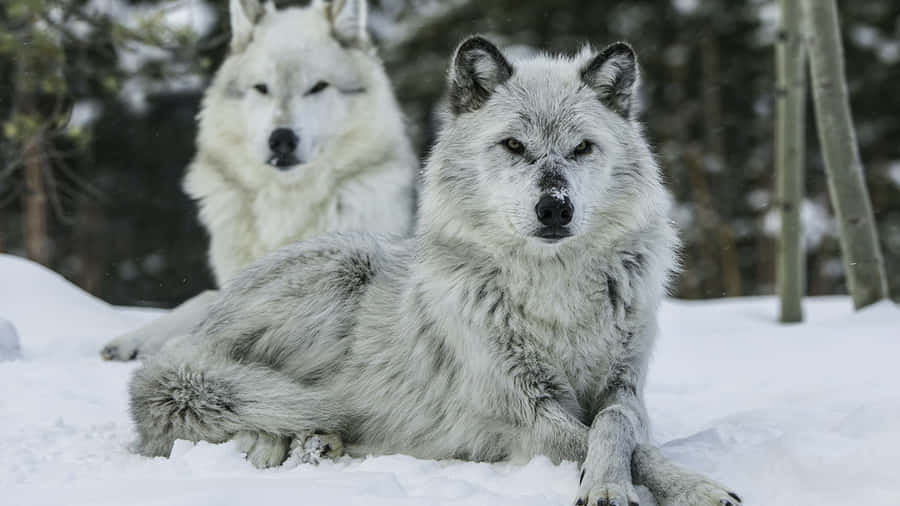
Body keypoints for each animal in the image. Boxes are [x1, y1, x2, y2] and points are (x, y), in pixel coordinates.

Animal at [100, 0, 416, 361]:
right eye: (262, 88)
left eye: (318, 87)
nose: (281, 139)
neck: (287, 207)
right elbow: (205, 298)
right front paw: (136, 338)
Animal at [128, 36, 742, 506]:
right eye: (513, 145)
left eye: (582, 148)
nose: (555, 208)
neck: (554, 291)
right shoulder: (524, 411)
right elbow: (614, 445)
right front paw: (622, 488)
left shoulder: (624, 388)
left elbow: (620, 431)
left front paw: (681, 486)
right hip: (343, 266)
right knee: (208, 409)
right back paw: (283, 441)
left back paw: (318, 443)